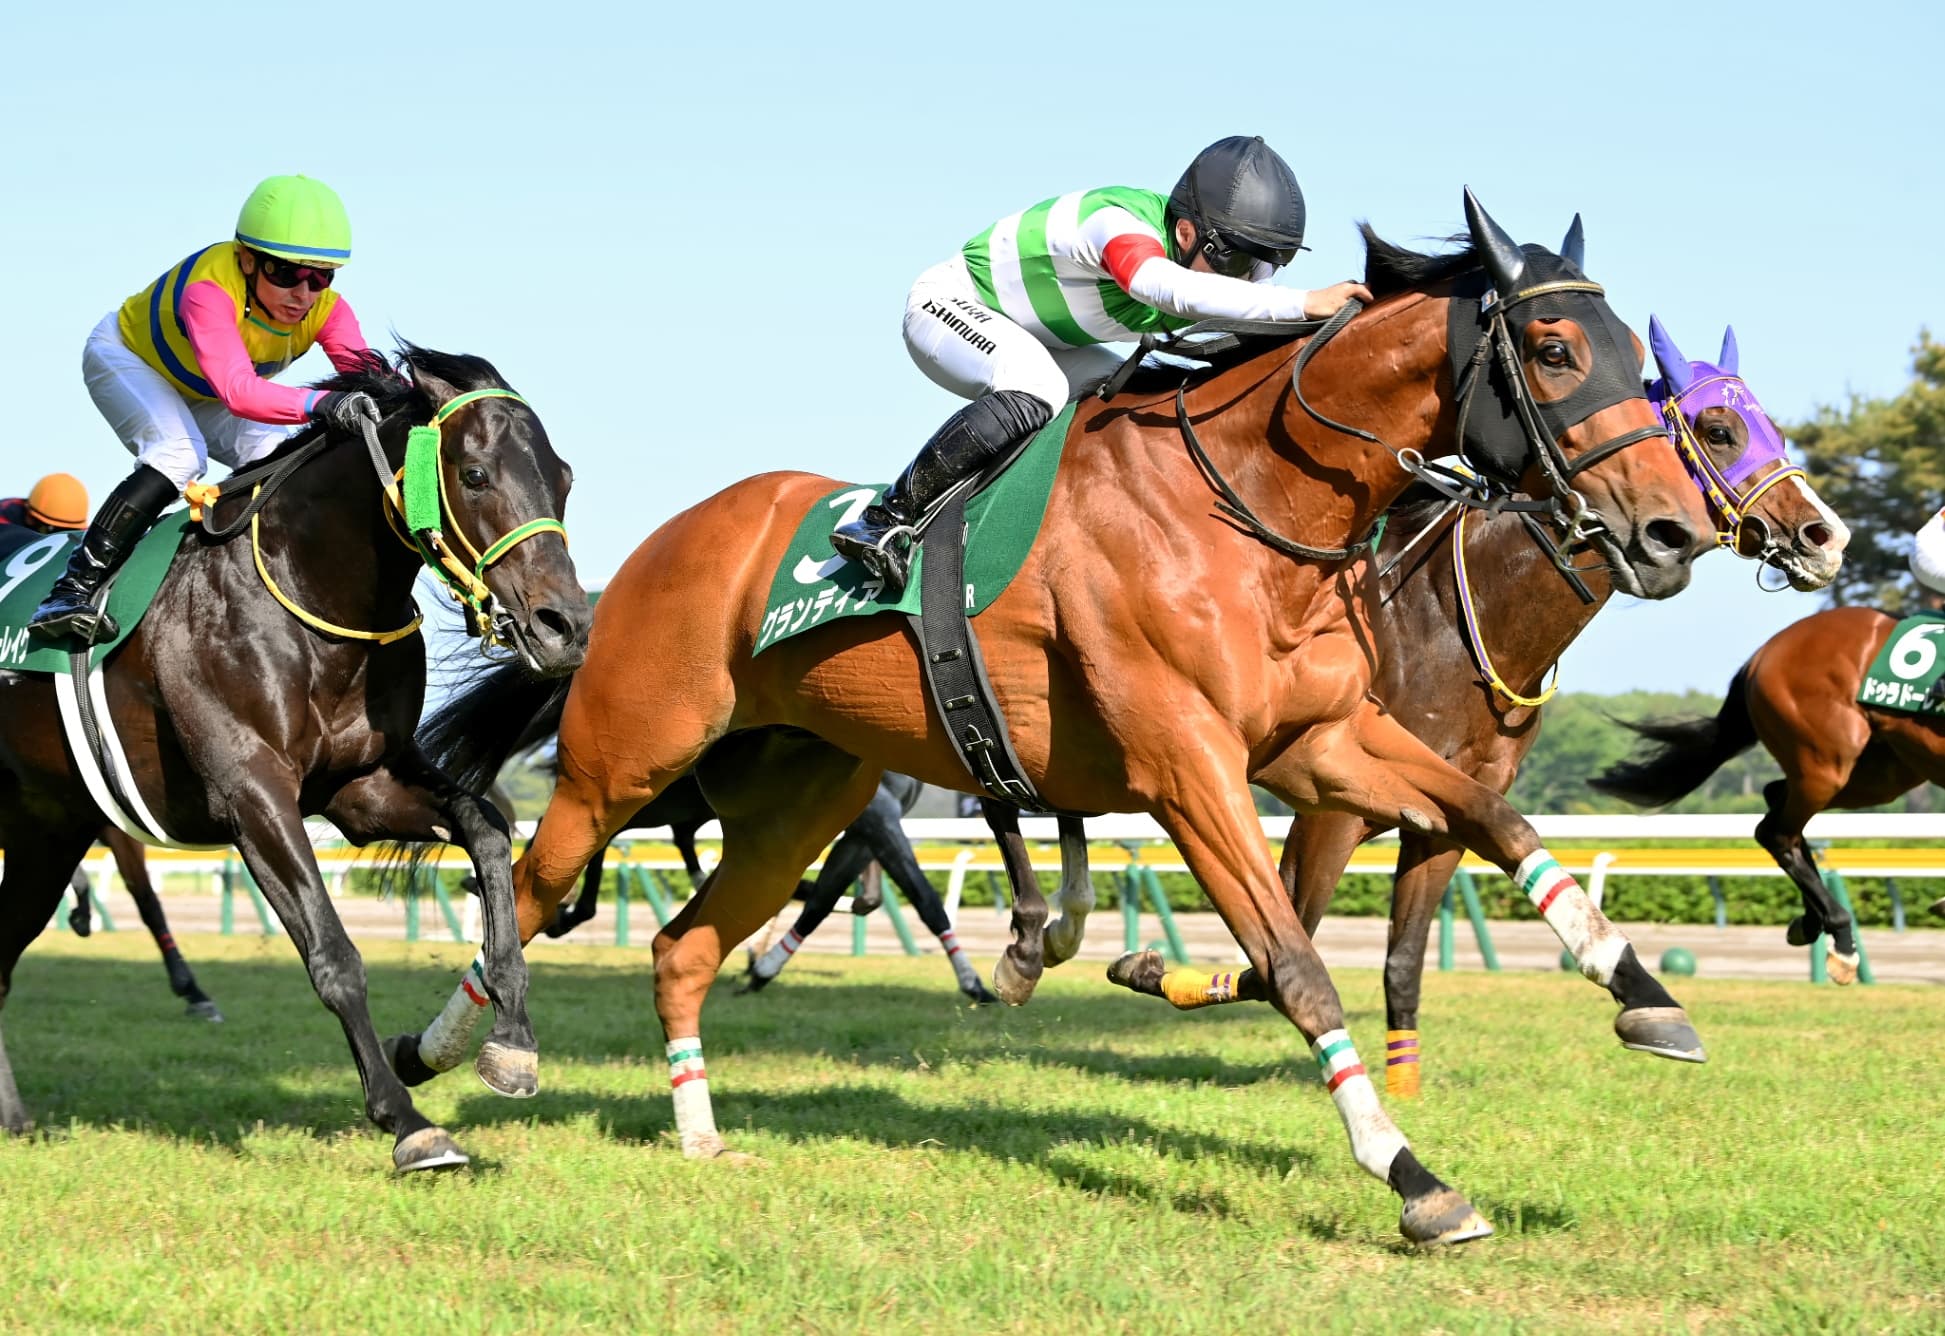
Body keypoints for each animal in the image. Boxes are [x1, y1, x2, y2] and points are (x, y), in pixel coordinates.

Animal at [0, 346, 590, 1173]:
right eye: (474, 475)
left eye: (562, 477)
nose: (565, 625)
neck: (307, 588)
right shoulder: (252, 793)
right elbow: (333, 955)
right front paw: (410, 1125)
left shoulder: (358, 785)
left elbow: (487, 828)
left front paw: (510, 1041)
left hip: (45, 826)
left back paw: (13, 1116)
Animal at [389, 193, 1717, 1245]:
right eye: (1554, 347)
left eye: (1637, 359)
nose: (1673, 528)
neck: (1251, 511)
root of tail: (647, 553)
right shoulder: (1190, 768)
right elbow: (1296, 966)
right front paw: (1411, 1176)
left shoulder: (1327, 741)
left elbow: (1499, 818)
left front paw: (1641, 992)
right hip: (626, 757)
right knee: (532, 884)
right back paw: (452, 1054)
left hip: (798, 800)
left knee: (681, 946)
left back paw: (700, 1130)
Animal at [1106, 317, 1851, 1095]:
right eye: (1718, 429)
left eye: (1771, 424)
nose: (1824, 535)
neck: (1449, 620)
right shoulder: (1328, 809)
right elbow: (1290, 935)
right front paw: (1151, 966)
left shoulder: (1448, 811)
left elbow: (1398, 957)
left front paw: (1404, 1089)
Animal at [1588, 606, 1941, 983]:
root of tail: (1764, 653)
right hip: (1826, 762)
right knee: (1776, 832)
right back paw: (1839, 937)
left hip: (1880, 773)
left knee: (1779, 807)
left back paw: (1815, 922)